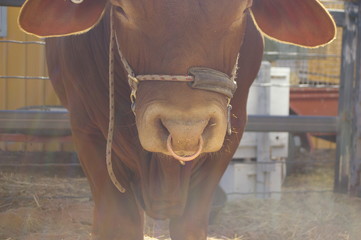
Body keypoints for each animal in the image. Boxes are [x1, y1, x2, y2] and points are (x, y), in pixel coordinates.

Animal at [18, 0, 334, 239]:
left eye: (243, 9)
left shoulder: (228, 140)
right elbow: (120, 223)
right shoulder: (88, 132)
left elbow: (190, 223)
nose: (185, 129)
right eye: (120, 7)